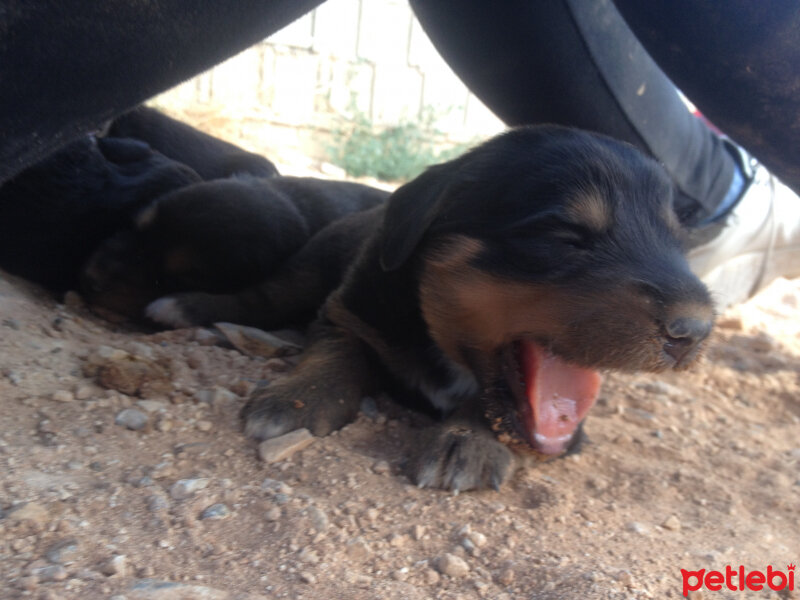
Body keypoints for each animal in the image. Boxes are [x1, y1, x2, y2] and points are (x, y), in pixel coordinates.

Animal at [148, 126, 712, 492]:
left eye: (680, 241)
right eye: (565, 236)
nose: (696, 332)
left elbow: (493, 406)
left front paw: (465, 439)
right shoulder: (348, 311)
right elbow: (335, 351)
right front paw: (297, 398)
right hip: (311, 264)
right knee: (265, 296)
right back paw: (184, 306)